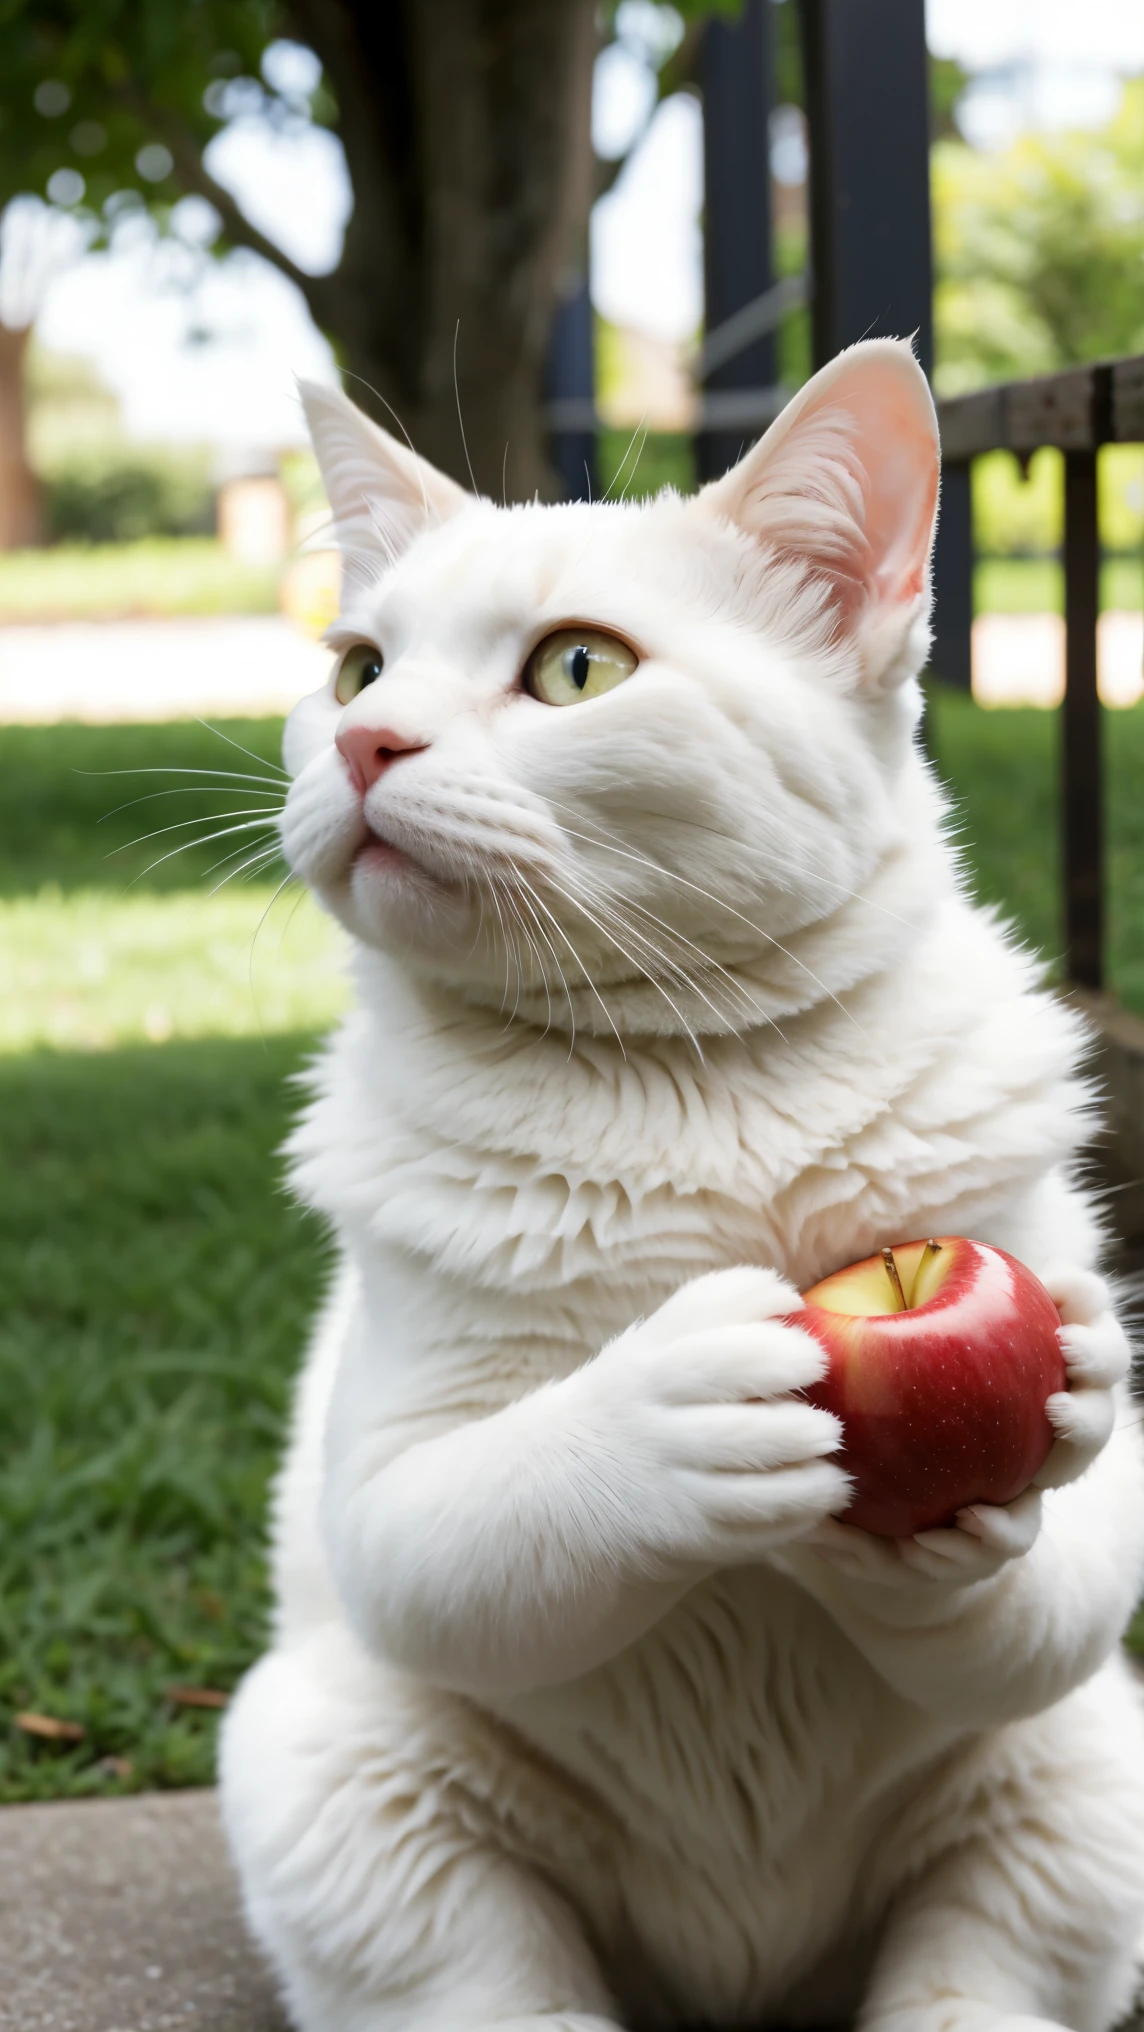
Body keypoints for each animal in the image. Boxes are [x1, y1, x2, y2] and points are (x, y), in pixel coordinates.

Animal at [219, 349, 1144, 2032]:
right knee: (498, 1989)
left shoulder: (1080, 1590)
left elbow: (1041, 1591)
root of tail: (741, 1975)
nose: (366, 747)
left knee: (975, 1978)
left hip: (1078, 1789)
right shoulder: (381, 1490)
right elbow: (467, 1531)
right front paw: (663, 1407)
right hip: (344, 1783)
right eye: (358, 671)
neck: (693, 1078)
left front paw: (1082, 1382)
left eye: (577, 669)